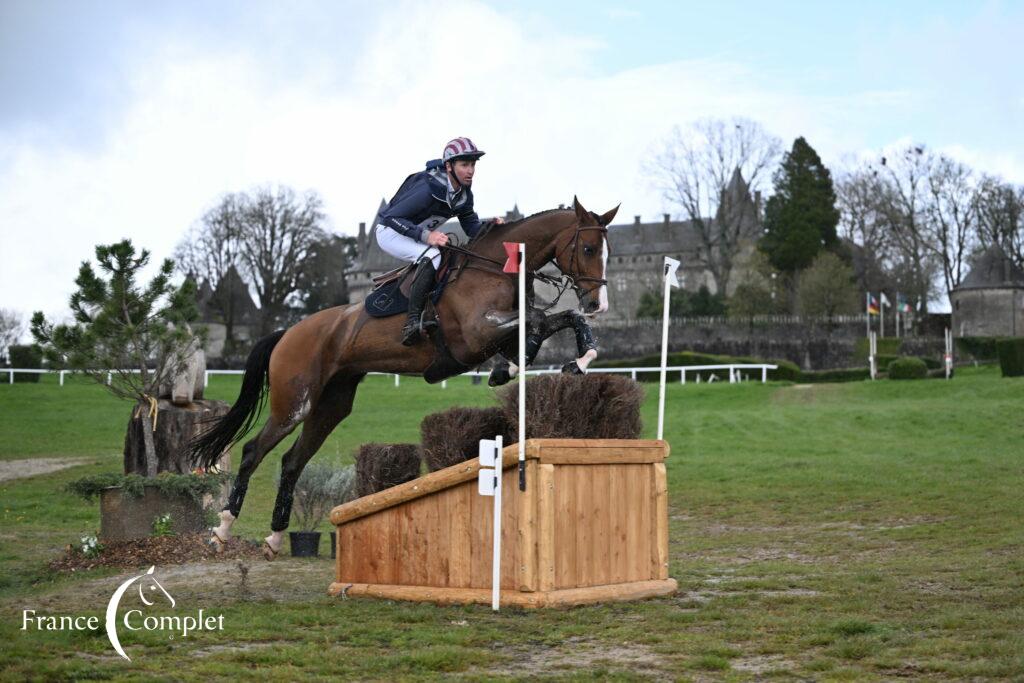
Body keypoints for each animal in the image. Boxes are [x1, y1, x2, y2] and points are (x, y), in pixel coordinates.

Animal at [191, 196, 614, 557]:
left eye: (607, 252)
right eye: (588, 249)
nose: (598, 303)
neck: (494, 267)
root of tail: (288, 333)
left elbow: (559, 317)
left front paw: (577, 360)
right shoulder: (476, 334)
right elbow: (538, 318)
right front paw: (512, 364)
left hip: (331, 406)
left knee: (293, 461)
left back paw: (276, 537)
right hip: (294, 403)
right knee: (253, 451)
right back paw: (223, 528)